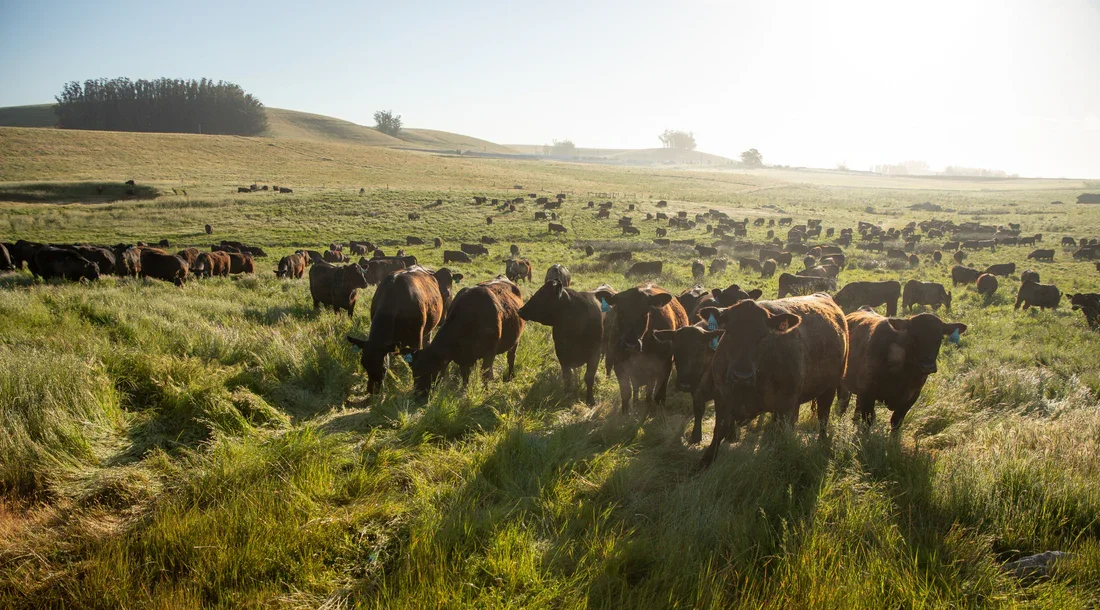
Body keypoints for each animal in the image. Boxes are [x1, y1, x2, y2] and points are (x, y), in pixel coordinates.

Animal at [598, 283, 688, 414]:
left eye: (645, 313)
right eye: (620, 312)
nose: (631, 344)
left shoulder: (665, 365)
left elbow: (659, 395)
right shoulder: (619, 365)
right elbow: (626, 393)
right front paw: (625, 413)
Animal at [698, 293, 848, 466]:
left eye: (763, 336)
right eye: (728, 332)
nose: (742, 376)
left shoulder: (785, 404)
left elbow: (782, 435)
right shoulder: (722, 396)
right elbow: (719, 429)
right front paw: (705, 460)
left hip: (829, 388)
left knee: (823, 417)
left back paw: (822, 444)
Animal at [837, 310, 966, 432]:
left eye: (939, 339)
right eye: (913, 337)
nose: (927, 365)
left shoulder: (910, 398)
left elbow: (896, 423)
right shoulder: (867, 394)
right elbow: (867, 422)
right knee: (843, 406)